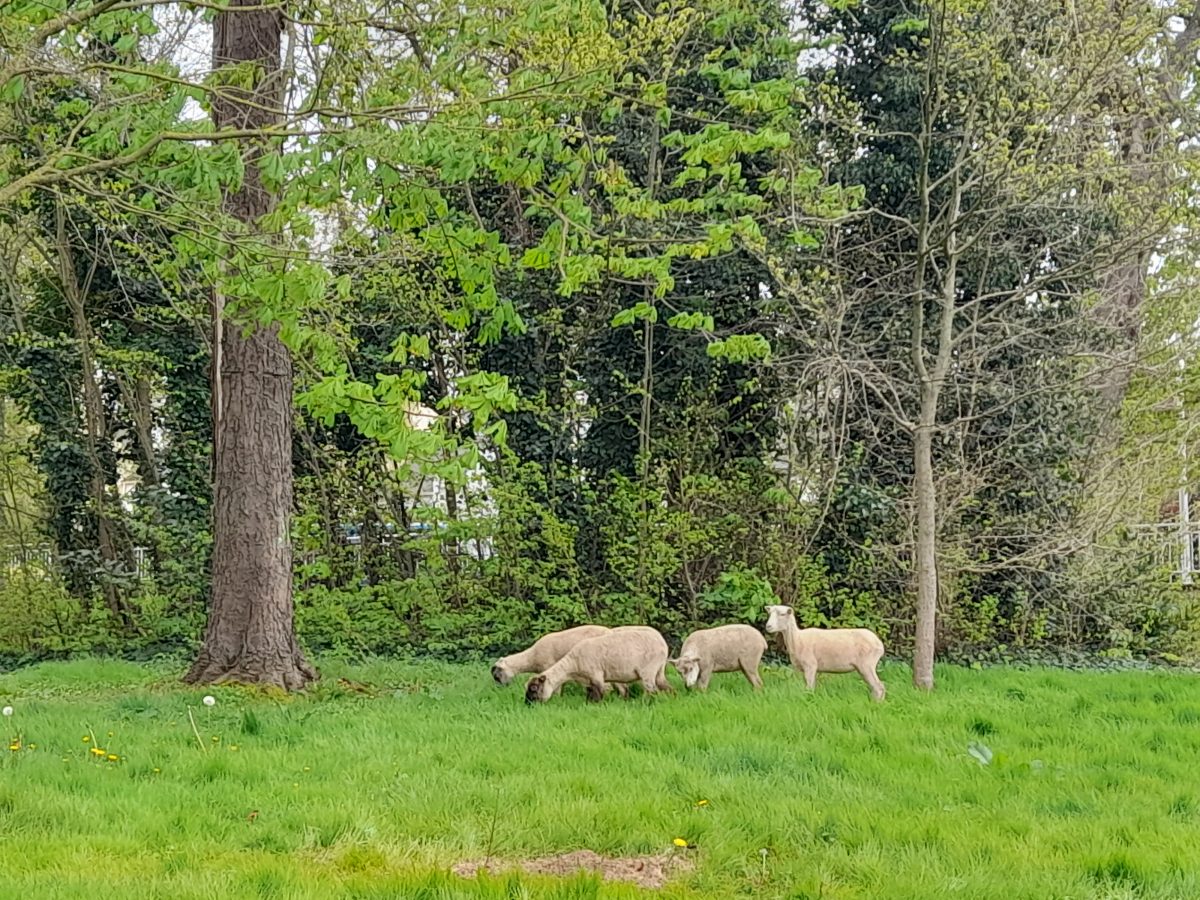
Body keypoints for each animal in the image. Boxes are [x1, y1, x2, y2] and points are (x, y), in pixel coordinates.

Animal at [525, 628, 676, 705]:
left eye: (534, 688)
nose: (528, 703)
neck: (573, 665)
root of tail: (663, 645)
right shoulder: (588, 680)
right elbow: (590, 695)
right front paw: (588, 705)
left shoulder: (596, 675)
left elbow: (599, 694)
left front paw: (599, 706)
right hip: (659, 670)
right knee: (668, 688)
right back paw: (673, 699)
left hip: (648, 670)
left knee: (651, 691)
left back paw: (645, 704)